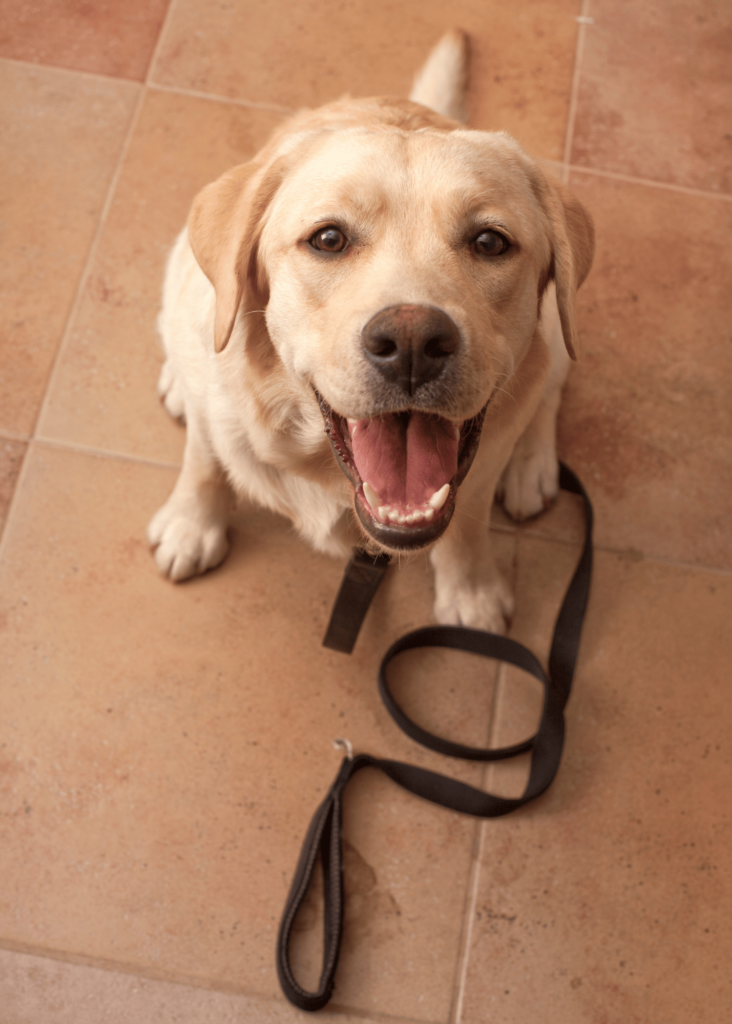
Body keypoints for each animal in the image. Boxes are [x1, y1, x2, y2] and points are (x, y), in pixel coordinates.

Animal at [146, 32, 593, 630]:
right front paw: (191, 525)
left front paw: (471, 590)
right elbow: (203, 463)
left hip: (557, 327)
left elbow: (468, 525)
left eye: (490, 242)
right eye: (328, 238)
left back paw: (530, 466)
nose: (412, 345)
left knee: (549, 394)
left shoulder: (473, 479)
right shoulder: (211, 411)